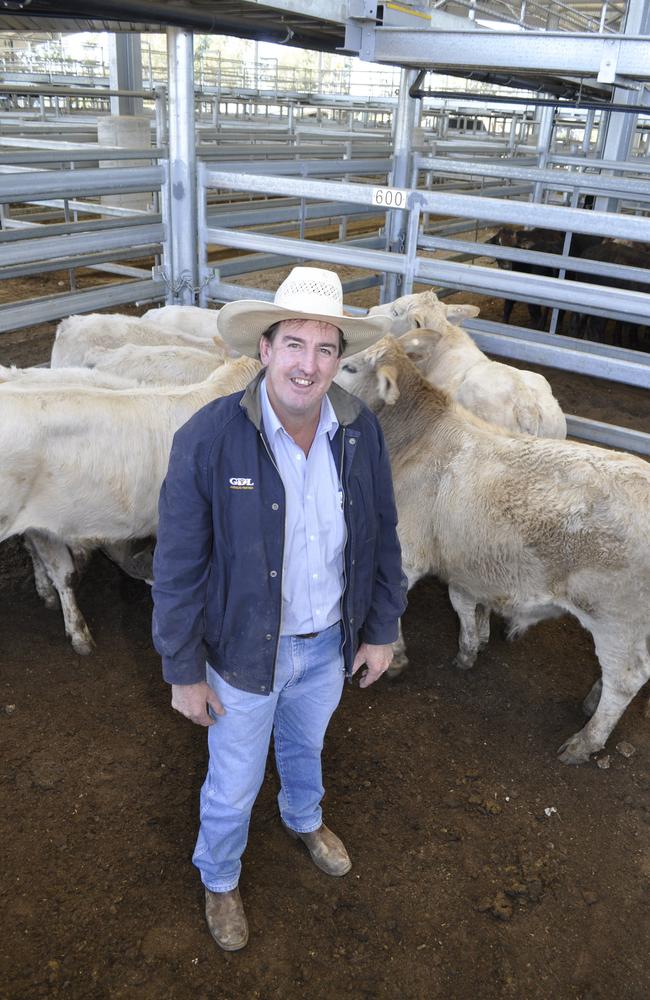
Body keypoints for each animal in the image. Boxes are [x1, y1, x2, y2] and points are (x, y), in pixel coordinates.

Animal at [336, 336, 648, 764]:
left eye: (349, 368)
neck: (415, 440)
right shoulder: (468, 559)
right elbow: (465, 604)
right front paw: (471, 648)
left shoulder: (406, 552)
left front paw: (394, 658)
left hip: (615, 616)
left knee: (626, 679)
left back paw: (585, 741)